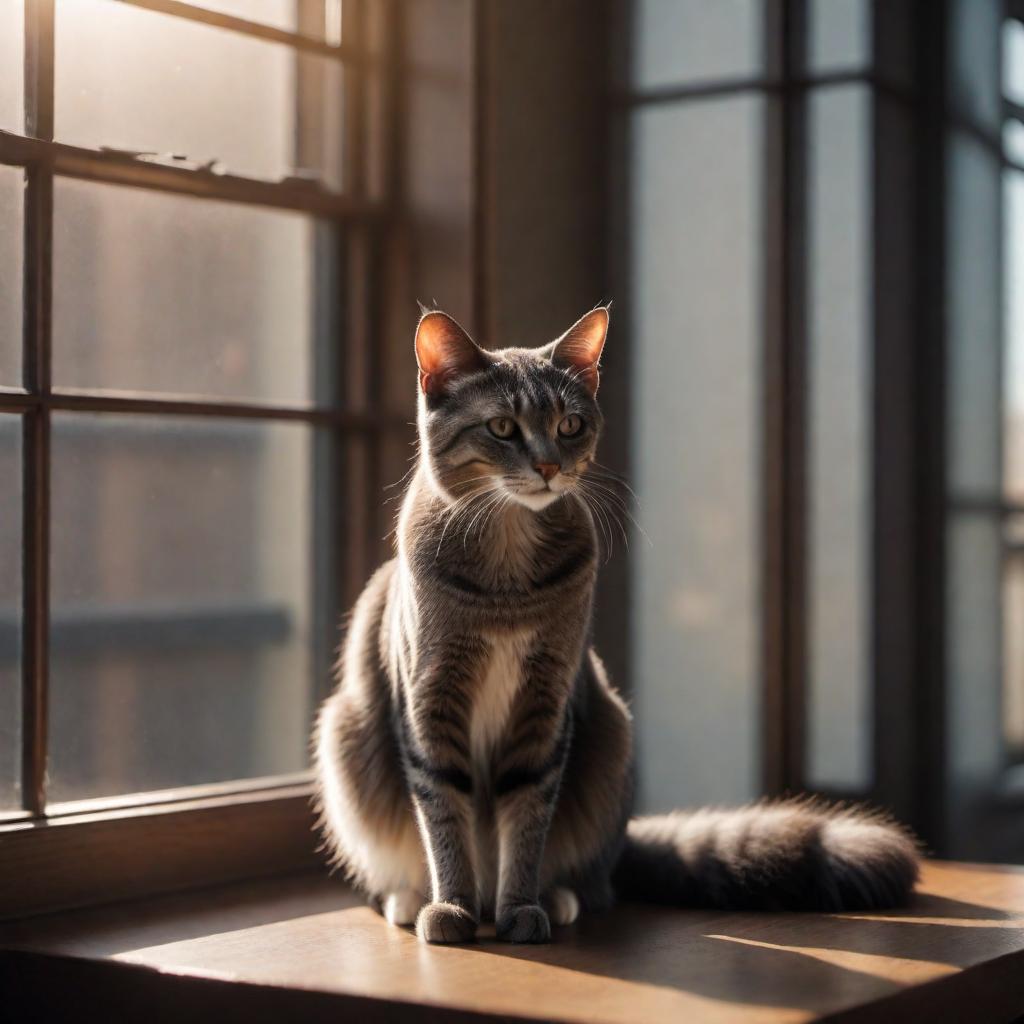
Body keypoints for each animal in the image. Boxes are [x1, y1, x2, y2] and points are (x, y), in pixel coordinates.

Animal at [313, 307, 921, 946]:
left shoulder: (545, 702)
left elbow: (527, 817)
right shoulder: (430, 699)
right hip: (346, 731)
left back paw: (554, 897)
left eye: (571, 424)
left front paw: (520, 907)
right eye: (502, 427)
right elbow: (444, 815)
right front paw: (451, 907)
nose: (549, 466)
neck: (506, 573)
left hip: (610, 731)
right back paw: (415, 899)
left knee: (594, 880)